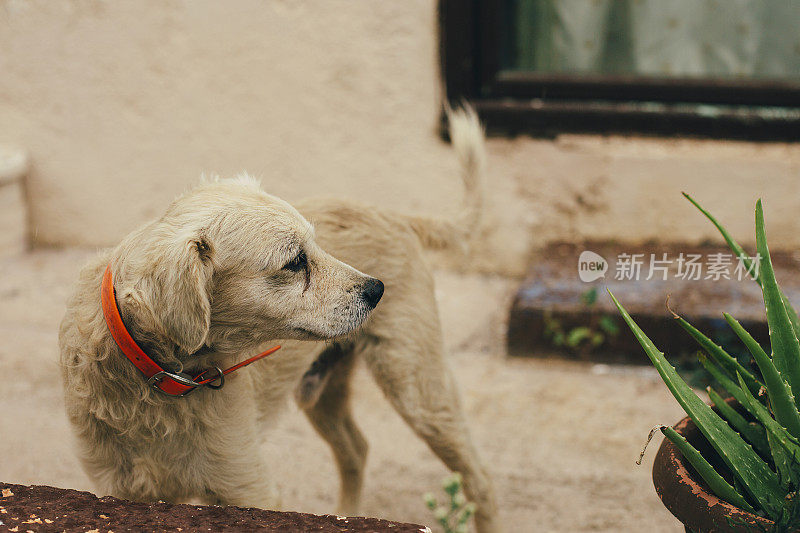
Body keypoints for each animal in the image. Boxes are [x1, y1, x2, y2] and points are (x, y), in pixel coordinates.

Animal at [62, 106, 496, 528]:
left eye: (315, 247)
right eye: (294, 262)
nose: (377, 290)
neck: (157, 382)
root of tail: (393, 214)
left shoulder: (246, 485)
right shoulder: (122, 489)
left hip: (418, 390)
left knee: (480, 481)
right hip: (323, 390)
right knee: (356, 450)